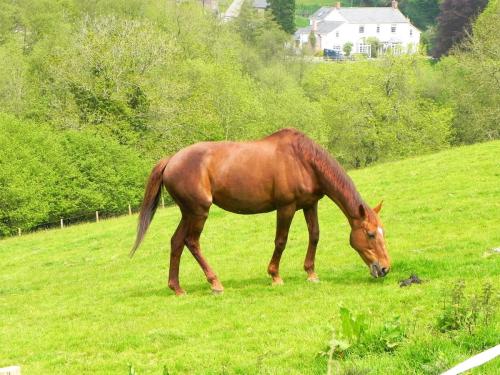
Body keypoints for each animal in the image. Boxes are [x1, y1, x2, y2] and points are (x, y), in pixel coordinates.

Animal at [132, 129, 390, 296]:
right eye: (370, 234)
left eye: (382, 232)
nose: (385, 268)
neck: (303, 160)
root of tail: (171, 160)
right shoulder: (286, 207)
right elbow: (281, 241)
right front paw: (275, 276)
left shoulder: (310, 205)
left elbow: (314, 236)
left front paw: (311, 273)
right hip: (198, 212)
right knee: (191, 242)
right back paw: (215, 283)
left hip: (188, 213)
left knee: (177, 241)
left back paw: (177, 288)